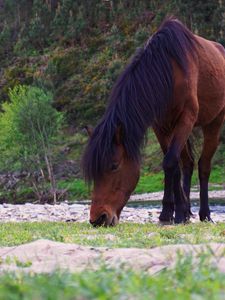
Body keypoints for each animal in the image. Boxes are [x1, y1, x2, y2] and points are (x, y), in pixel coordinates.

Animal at [82, 17, 225, 226]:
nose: (98, 218)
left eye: (114, 165)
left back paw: (204, 214)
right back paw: (188, 211)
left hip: (213, 123)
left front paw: (176, 214)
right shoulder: (161, 126)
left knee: (203, 166)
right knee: (188, 163)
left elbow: (170, 162)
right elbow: (172, 166)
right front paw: (170, 213)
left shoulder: (186, 118)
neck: (169, 71)